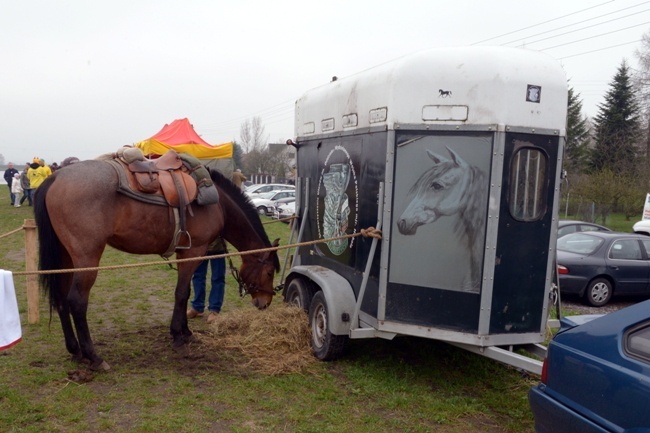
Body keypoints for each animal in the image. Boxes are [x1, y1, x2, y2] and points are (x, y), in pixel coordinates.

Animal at [34, 160, 278, 370]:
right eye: (269, 272)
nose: (265, 302)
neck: (217, 204)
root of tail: (55, 177)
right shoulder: (194, 252)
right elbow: (182, 293)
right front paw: (178, 335)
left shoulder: (186, 253)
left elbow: (186, 293)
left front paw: (185, 331)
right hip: (87, 260)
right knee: (76, 301)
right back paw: (93, 357)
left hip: (66, 258)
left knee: (60, 298)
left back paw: (75, 350)